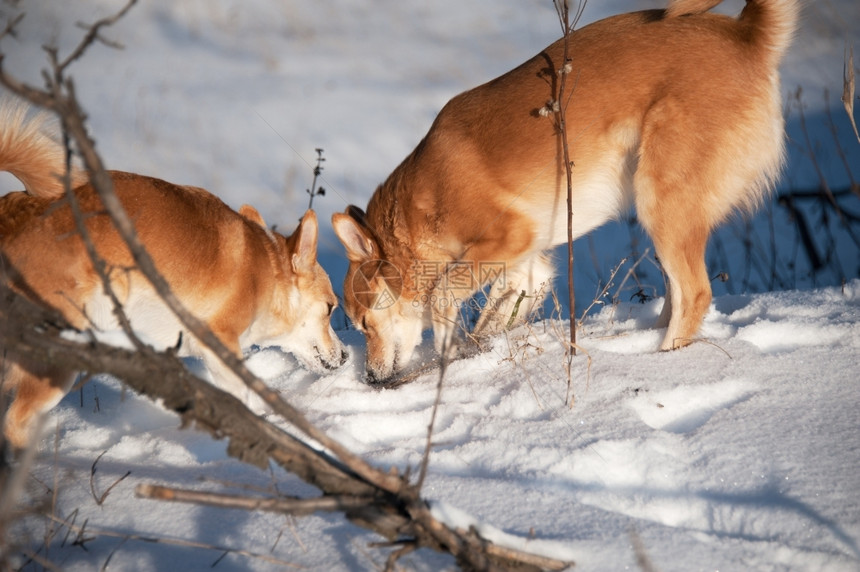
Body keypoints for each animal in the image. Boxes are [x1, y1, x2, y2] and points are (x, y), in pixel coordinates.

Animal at [4, 105, 346, 450]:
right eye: (331, 308)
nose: (346, 356)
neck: (267, 270)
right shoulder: (220, 345)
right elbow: (240, 397)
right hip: (56, 360)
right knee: (15, 422)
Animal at [330, 1, 800, 384]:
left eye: (364, 324)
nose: (369, 377)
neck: (418, 210)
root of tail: (747, 34)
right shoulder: (527, 267)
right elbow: (494, 317)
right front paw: (473, 353)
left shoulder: (508, 235)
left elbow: (444, 295)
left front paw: (449, 349)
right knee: (677, 295)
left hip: (662, 202)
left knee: (695, 294)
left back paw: (663, 361)